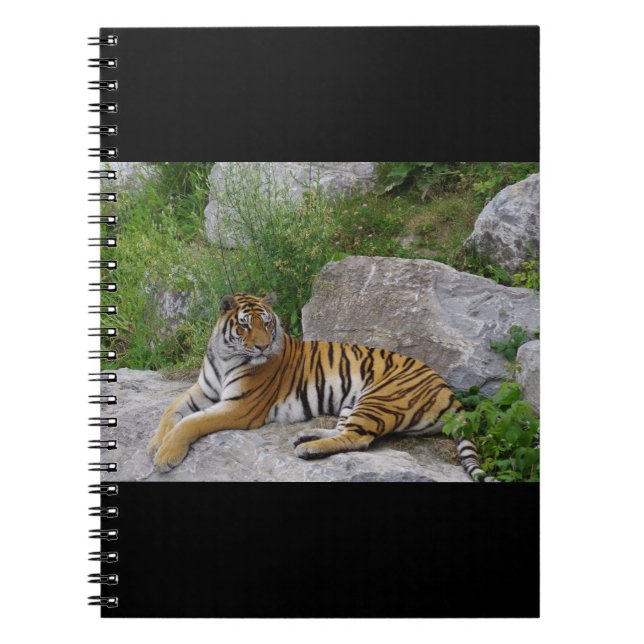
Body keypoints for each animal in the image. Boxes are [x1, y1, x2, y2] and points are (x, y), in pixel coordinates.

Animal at [147, 292, 491, 481]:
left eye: (267, 323)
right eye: (244, 325)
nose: (261, 347)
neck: (225, 355)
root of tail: (448, 390)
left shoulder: (239, 407)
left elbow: (192, 422)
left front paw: (166, 456)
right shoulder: (203, 389)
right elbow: (171, 411)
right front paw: (154, 444)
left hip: (378, 398)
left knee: (358, 439)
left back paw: (308, 449)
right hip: (354, 401)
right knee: (344, 430)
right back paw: (307, 436)